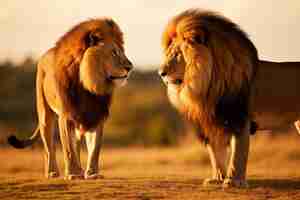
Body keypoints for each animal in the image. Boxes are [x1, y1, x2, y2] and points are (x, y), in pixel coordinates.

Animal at [7, 17, 132, 180]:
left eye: (122, 52)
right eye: (114, 53)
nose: (130, 67)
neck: (87, 83)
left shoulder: (96, 115)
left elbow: (94, 148)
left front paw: (92, 173)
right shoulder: (66, 116)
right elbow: (68, 149)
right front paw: (73, 173)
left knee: (76, 143)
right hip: (45, 114)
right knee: (49, 148)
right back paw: (52, 172)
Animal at [158, 9, 258, 188]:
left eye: (178, 55)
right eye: (169, 54)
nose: (160, 73)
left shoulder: (239, 118)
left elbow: (238, 153)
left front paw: (234, 182)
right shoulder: (208, 124)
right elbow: (215, 154)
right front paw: (217, 179)